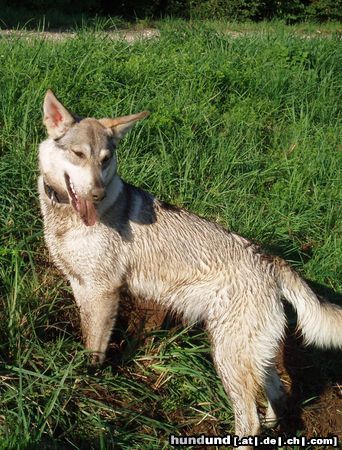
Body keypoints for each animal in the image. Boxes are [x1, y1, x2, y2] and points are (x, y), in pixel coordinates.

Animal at [38, 89, 342, 448]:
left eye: (105, 159)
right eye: (78, 154)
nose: (97, 193)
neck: (65, 216)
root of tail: (270, 260)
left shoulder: (103, 291)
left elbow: (94, 346)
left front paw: (86, 380)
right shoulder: (80, 284)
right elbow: (87, 334)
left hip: (227, 357)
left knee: (249, 421)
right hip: (253, 355)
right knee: (278, 394)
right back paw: (274, 427)